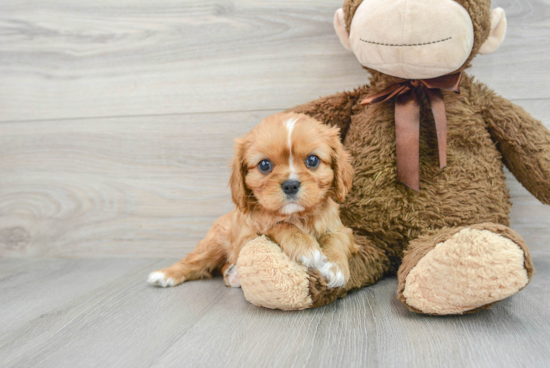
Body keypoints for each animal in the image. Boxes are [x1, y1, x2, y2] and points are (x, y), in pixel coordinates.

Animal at [149, 112, 360, 290]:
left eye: (313, 160)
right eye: (264, 165)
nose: (290, 185)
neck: (295, 215)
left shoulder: (341, 229)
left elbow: (336, 238)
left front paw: (335, 267)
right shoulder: (248, 236)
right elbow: (278, 225)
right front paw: (305, 246)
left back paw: (232, 274)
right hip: (213, 243)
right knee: (194, 261)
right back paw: (164, 275)